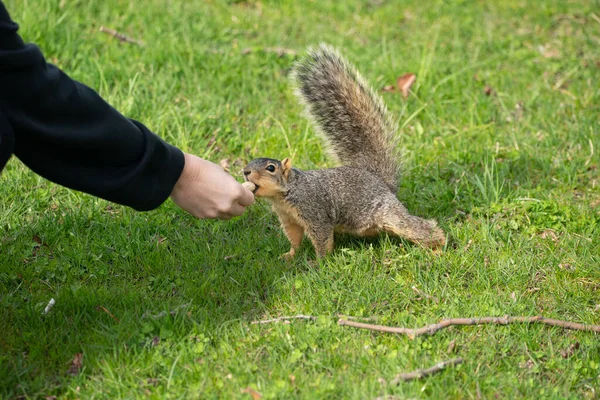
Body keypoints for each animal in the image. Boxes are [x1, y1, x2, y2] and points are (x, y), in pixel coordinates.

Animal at [243, 43, 446, 260]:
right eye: (250, 162)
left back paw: (438, 247)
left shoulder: (314, 211)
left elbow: (322, 238)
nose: (245, 171)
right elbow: (295, 238)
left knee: (414, 227)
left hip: (387, 212)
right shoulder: (289, 218)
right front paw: (289, 255)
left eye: (271, 168)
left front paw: (319, 262)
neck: (287, 193)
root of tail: (381, 182)